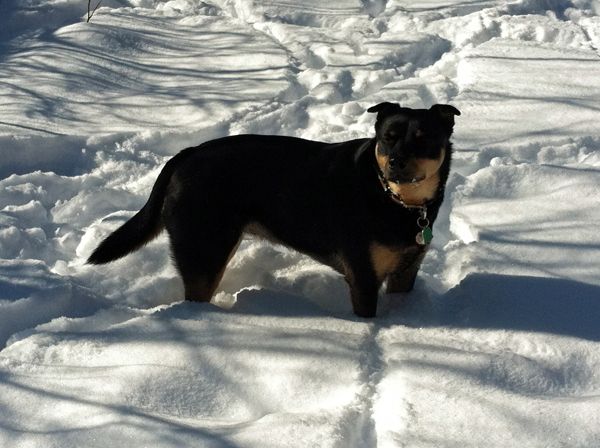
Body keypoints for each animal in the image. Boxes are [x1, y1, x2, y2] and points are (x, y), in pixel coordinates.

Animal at [86, 103, 460, 316]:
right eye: (387, 137)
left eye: (424, 139)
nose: (396, 162)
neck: (396, 200)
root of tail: (186, 154)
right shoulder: (363, 277)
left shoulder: (405, 271)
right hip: (204, 250)